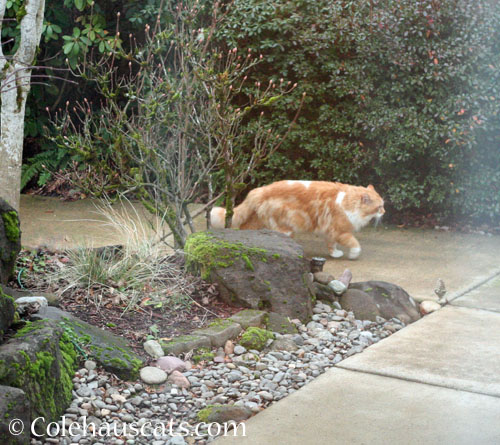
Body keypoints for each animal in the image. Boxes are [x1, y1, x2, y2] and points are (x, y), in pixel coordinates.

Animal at [209, 179, 384, 258]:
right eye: (379, 207)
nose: (384, 212)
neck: (348, 200)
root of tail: (260, 190)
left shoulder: (331, 231)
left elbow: (331, 245)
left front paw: (335, 253)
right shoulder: (340, 230)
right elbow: (355, 243)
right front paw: (353, 254)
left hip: (258, 220)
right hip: (285, 228)